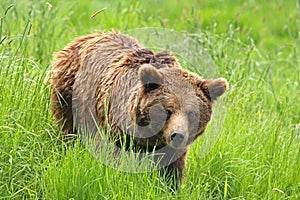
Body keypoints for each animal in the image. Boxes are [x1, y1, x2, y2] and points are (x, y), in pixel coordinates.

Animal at [49, 30, 229, 190]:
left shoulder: (171, 149)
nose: (177, 135)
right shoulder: (115, 129)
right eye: (167, 110)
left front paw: (171, 187)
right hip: (71, 96)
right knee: (69, 131)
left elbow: (171, 168)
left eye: (192, 113)